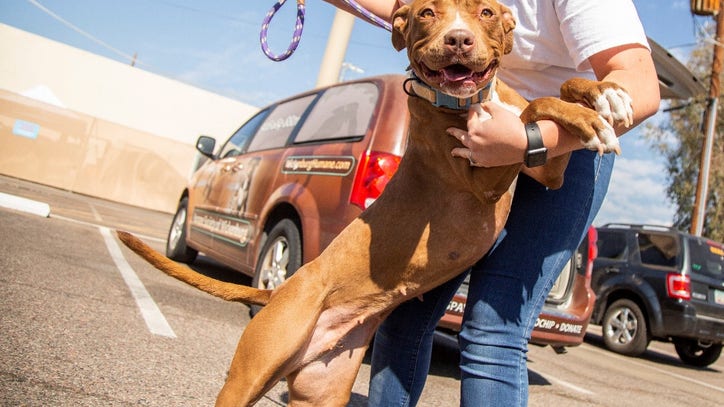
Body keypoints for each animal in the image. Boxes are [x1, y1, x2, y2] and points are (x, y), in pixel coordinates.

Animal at [116, 0, 632, 404]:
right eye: (427, 13)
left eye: (485, 12)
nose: (459, 40)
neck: (469, 101)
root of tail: (277, 292)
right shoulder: (483, 178)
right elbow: (535, 107)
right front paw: (589, 113)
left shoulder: (547, 169)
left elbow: (555, 95)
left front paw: (604, 94)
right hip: (248, 374)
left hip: (323, 390)